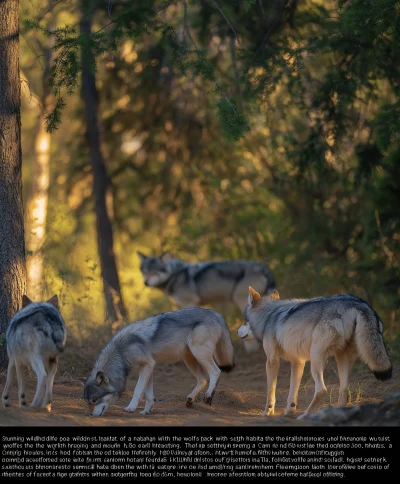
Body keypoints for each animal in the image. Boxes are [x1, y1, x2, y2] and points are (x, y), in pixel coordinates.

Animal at [84, 306, 234, 416]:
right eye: (88, 402)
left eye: (95, 400)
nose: (91, 415)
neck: (120, 351)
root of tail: (215, 313)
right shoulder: (148, 367)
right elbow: (149, 394)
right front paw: (146, 411)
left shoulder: (147, 365)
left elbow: (138, 390)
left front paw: (130, 408)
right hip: (189, 359)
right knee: (203, 379)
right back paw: (190, 400)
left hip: (199, 353)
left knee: (216, 372)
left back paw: (208, 396)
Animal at [137, 250, 276, 352]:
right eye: (145, 271)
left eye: (154, 271)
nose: (145, 283)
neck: (176, 275)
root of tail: (263, 267)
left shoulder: (191, 303)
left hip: (241, 299)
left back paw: (251, 350)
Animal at [239, 288, 392, 420]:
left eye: (245, 320)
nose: (236, 331)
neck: (269, 316)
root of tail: (359, 302)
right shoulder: (298, 362)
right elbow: (292, 393)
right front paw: (289, 413)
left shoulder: (272, 361)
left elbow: (270, 392)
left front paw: (267, 412)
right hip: (340, 359)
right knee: (343, 390)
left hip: (315, 360)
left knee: (321, 389)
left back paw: (305, 416)